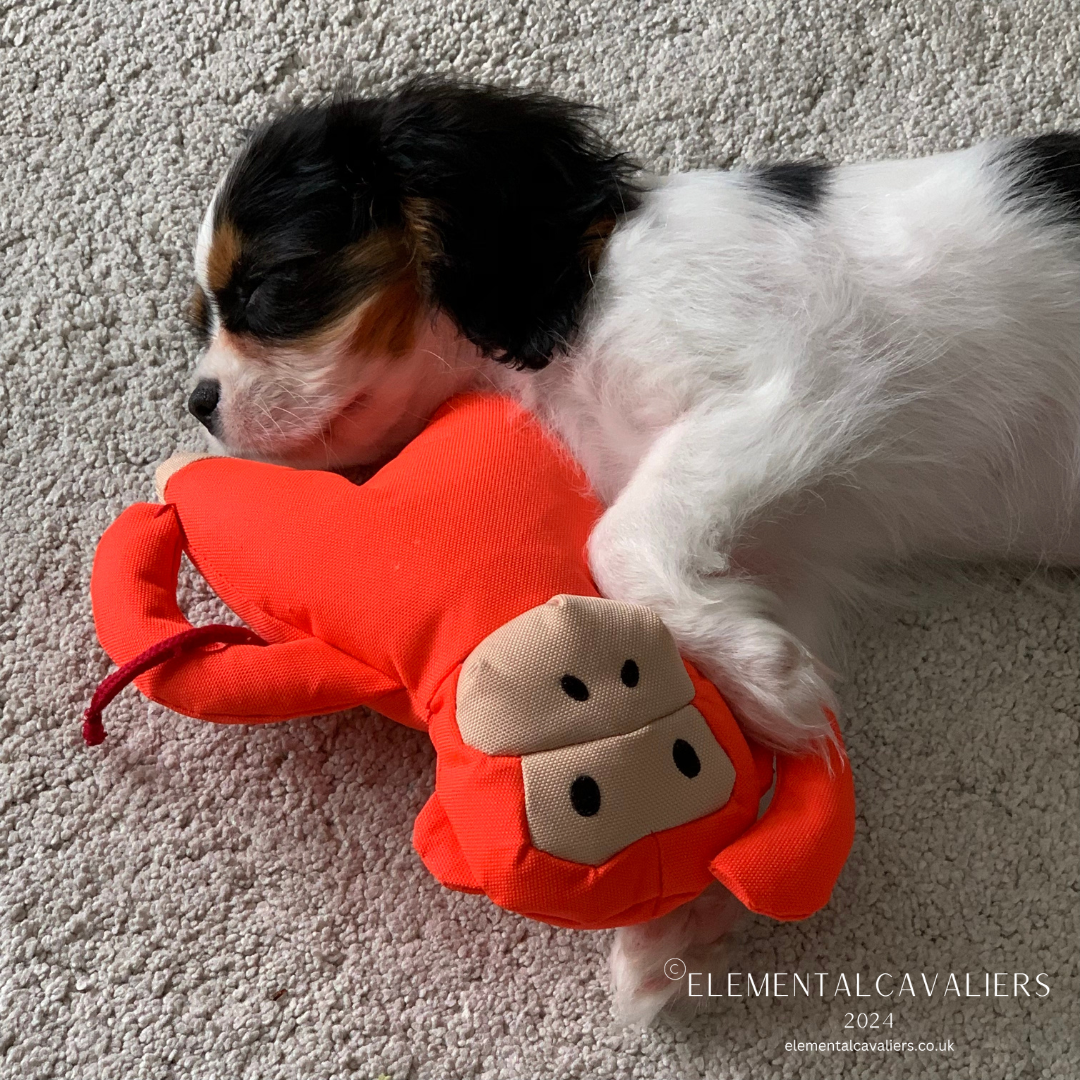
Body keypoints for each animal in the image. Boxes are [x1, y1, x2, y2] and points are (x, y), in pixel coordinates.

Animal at [190, 79, 1080, 1015]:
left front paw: (777, 691)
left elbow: (612, 540)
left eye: (269, 287)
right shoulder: (781, 551)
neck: (581, 293)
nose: (197, 403)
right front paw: (680, 926)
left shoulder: (796, 386)